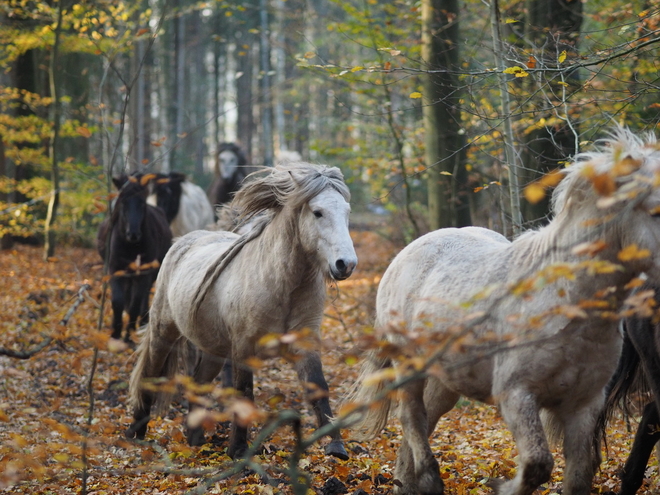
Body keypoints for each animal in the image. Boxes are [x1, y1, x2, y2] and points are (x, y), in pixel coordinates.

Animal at [96, 173, 173, 340]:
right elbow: (118, 302)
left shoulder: (144, 272)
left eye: (142, 202)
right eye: (123, 201)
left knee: (143, 297)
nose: (133, 234)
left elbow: (135, 304)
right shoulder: (115, 269)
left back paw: (142, 323)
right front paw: (115, 334)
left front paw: (128, 336)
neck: (131, 246)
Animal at [127, 162, 358, 462]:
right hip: (163, 331)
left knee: (198, 382)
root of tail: (183, 241)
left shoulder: (305, 344)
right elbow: (244, 392)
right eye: (317, 212)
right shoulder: (244, 347)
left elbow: (318, 386)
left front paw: (336, 447)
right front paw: (237, 450)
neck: (282, 285)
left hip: (213, 349)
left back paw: (196, 440)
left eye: (346, 212)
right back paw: (137, 432)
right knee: (150, 374)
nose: (346, 264)